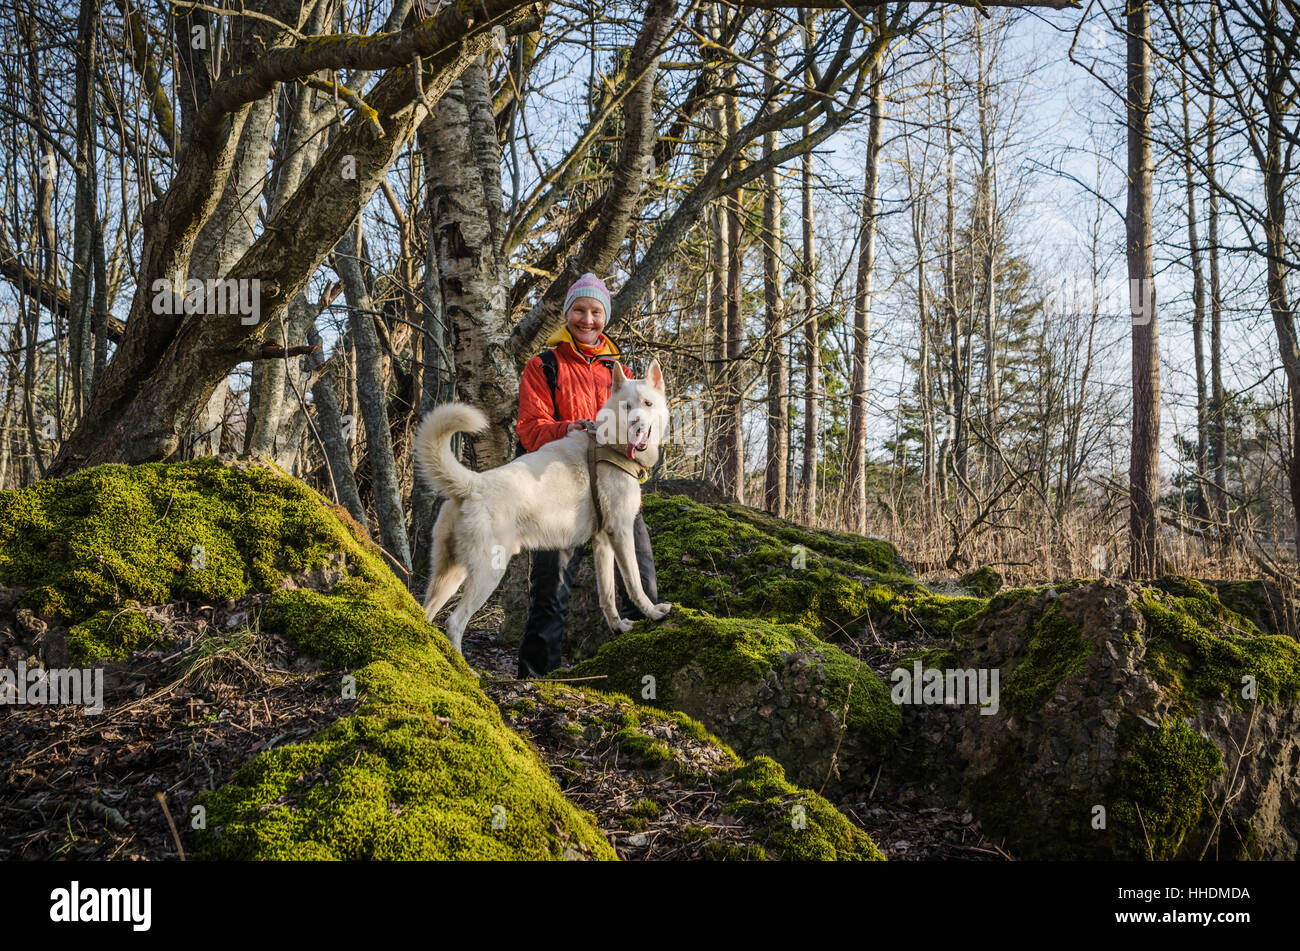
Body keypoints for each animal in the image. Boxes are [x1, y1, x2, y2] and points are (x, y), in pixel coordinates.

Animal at [413, 355, 676, 654]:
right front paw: (654, 613)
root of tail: (472, 485)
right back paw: (463, 666)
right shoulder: (620, 532)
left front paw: (618, 626)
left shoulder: (603, 542)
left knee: (425, 612)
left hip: (448, 573)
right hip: (488, 573)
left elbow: (607, 596)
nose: (635, 423)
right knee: (454, 622)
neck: (610, 445)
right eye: (627, 406)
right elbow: (635, 585)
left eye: (647, 404)